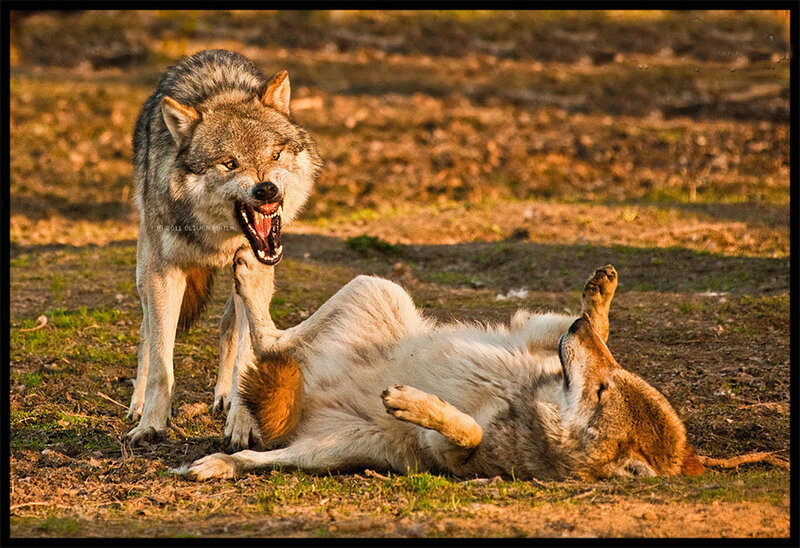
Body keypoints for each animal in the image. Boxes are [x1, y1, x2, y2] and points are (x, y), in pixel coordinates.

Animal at [127, 49, 322, 449]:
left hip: (245, 278)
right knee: (145, 331)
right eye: (229, 163)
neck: (218, 237)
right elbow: (160, 364)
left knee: (228, 324)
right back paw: (137, 405)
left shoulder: (256, 264)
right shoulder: (164, 274)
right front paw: (152, 425)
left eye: (275, 155)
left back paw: (225, 396)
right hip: (143, 273)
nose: (267, 190)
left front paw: (242, 425)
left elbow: (248, 352)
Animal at [181, 252, 704, 481]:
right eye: (608, 381)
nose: (573, 331)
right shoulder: (527, 333)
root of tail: (310, 389)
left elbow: (467, 432)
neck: (528, 399)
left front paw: (413, 403)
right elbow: (597, 329)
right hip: (378, 286)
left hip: (331, 451)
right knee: (273, 341)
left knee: (267, 373)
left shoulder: (451, 457)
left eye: (600, 393)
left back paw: (217, 463)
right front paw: (596, 300)